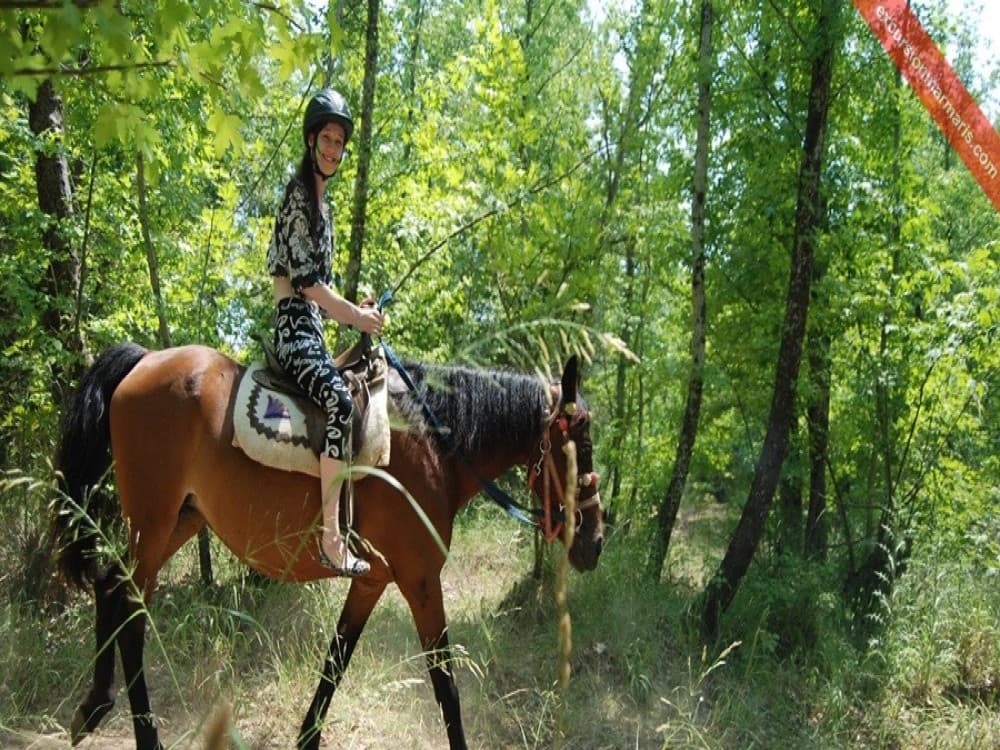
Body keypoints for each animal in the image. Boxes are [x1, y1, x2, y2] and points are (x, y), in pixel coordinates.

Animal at [50, 342, 604, 750]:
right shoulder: (421, 580)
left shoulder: (374, 580)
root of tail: (145, 359)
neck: (435, 447)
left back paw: (94, 706)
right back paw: (142, 734)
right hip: (154, 519)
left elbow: (335, 664)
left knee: (111, 588)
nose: (595, 541)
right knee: (130, 609)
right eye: (580, 442)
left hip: (178, 520)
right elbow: (445, 685)